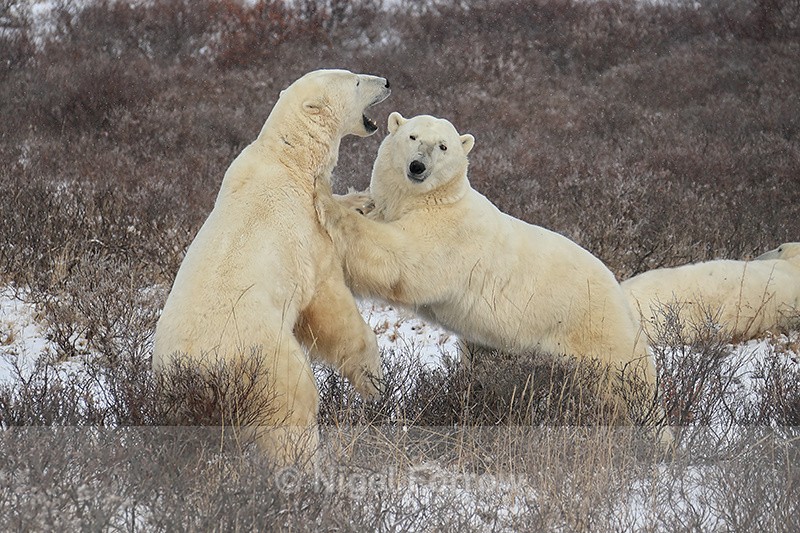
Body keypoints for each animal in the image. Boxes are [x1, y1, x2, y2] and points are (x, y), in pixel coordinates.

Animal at [152, 69, 390, 466]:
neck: (289, 159)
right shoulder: (306, 240)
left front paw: (363, 201)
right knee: (293, 405)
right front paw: (374, 381)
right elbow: (332, 309)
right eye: (356, 81)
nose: (386, 81)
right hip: (266, 361)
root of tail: (199, 377)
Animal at [315, 112, 666, 429]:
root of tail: (618, 289)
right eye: (412, 136)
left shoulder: (449, 233)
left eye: (443, 146)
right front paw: (355, 201)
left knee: (625, 380)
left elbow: (403, 259)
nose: (418, 166)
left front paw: (325, 199)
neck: (433, 199)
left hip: (594, 326)